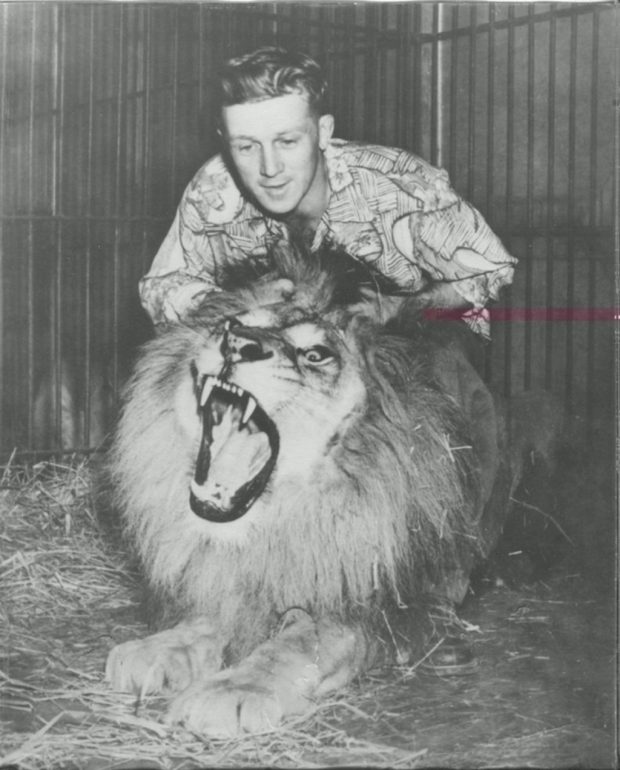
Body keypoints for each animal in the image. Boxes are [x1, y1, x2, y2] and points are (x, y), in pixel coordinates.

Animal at [105, 243, 548, 736]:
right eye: (231, 324)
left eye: (316, 353)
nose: (235, 343)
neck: (289, 513)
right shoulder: (241, 575)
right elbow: (210, 615)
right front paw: (160, 648)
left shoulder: (394, 603)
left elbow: (309, 637)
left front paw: (234, 689)